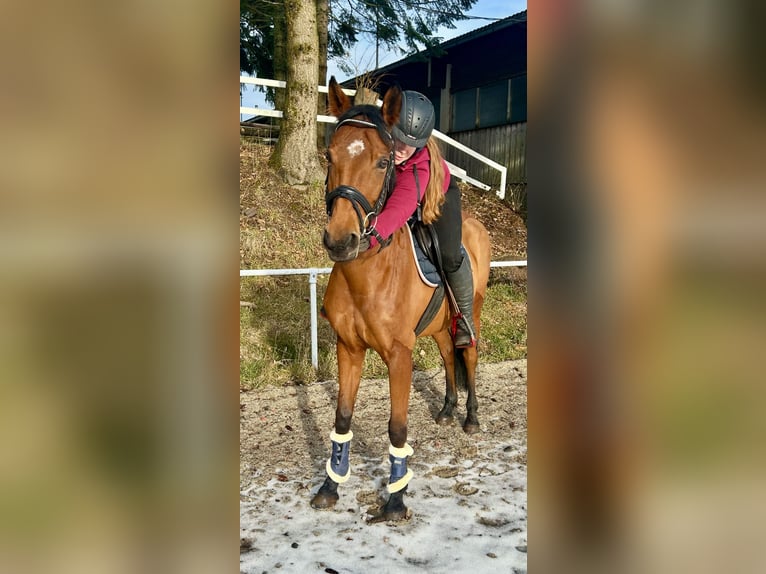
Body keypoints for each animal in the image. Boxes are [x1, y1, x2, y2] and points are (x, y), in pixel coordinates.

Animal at [310, 76, 492, 520]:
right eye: (329, 155)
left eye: (382, 162)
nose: (341, 241)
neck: (369, 276)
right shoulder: (349, 348)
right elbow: (342, 418)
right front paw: (330, 485)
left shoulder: (398, 354)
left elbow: (397, 427)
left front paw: (395, 498)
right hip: (440, 326)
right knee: (447, 355)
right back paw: (447, 409)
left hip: (471, 313)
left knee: (469, 355)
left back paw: (470, 417)